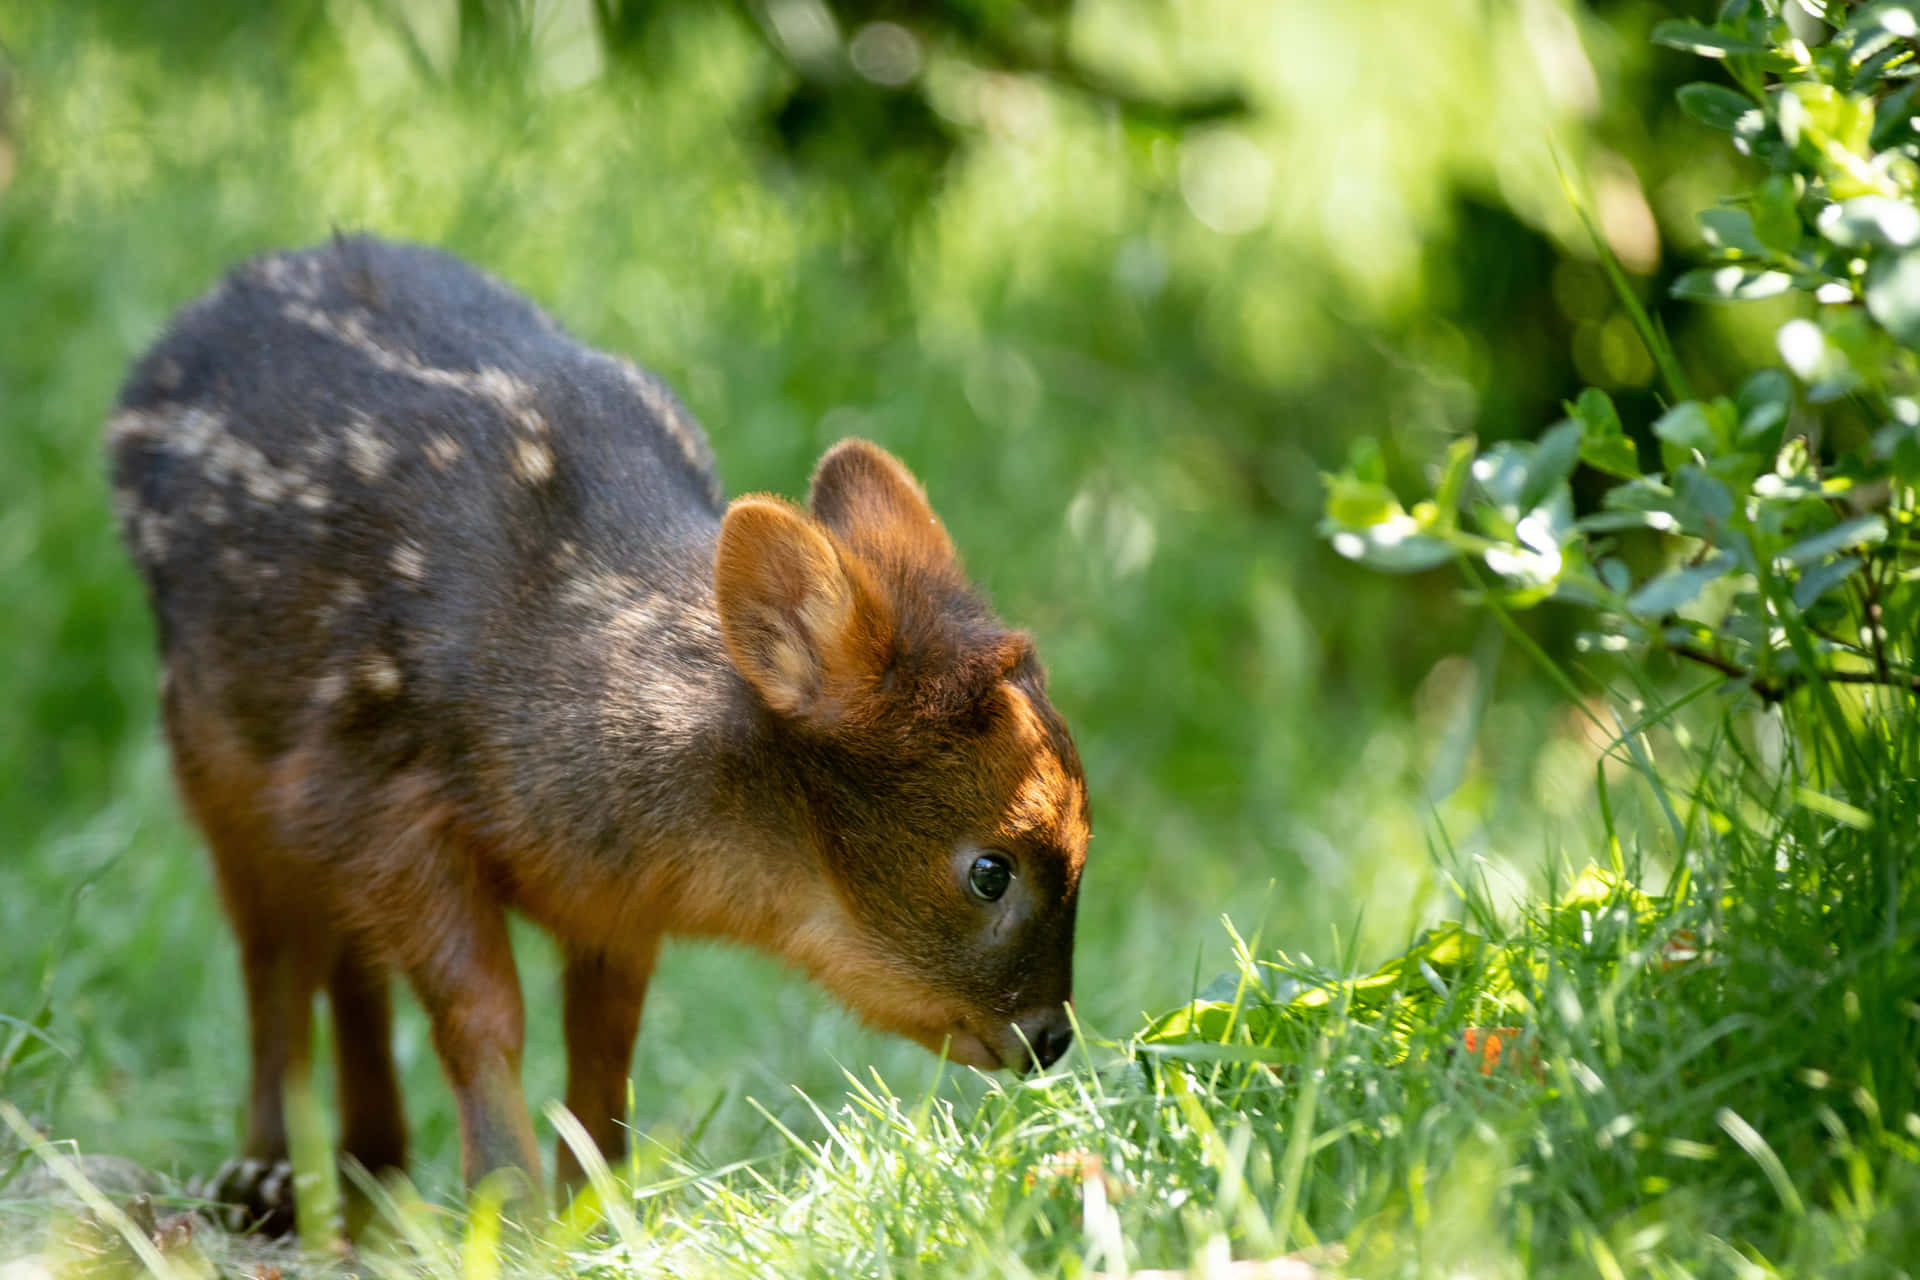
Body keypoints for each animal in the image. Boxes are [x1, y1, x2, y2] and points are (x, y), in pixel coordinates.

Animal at [105, 235, 1090, 1228]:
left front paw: (599, 1211)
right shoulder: (378, 797)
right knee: (274, 957)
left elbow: (606, 1034)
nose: (1049, 1038)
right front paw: (507, 1212)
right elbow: (480, 1011)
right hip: (212, 752)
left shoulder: (615, 898)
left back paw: (368, 1179)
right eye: (990, 869)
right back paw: (270, 1179)